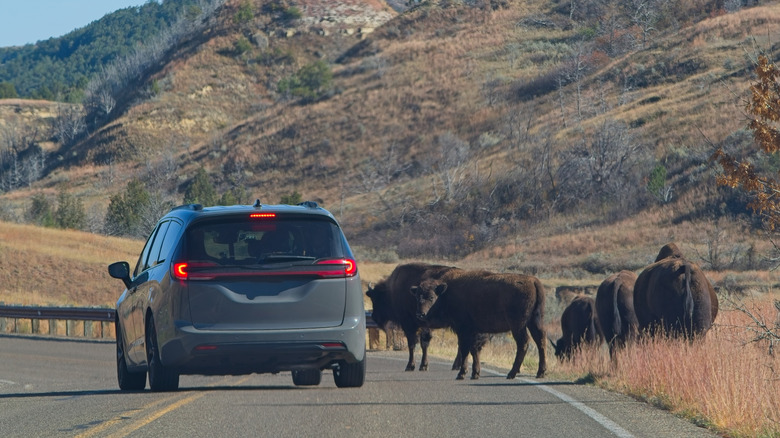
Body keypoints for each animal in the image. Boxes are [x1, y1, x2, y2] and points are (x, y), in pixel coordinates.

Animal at [411, 270, 547, 380]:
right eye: (417, 296)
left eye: (431, 297)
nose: (420, 314)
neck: (446, 293)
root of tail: (532, 281)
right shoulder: (473, 330)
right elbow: (474, 350)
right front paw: (475, 374)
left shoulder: (463, 329)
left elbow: (465, 349)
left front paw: (461, 374)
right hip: (535, 321)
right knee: (540, 341)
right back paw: (540, 372)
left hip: (518, 325)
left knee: (523, 343)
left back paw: (511, 373)